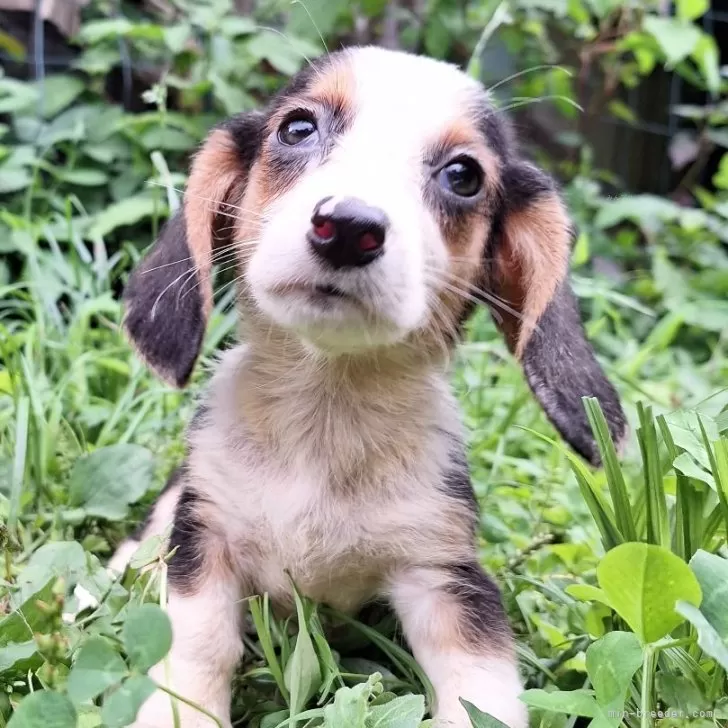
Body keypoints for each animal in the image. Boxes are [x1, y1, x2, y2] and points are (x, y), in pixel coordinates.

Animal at [114, 47, 624, 728]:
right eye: (298, 128)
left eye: (463, 175)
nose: (350, 226)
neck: (327, 412)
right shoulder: (205, 541)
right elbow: (197, 650)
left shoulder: (446, 576)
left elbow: (482, 694)